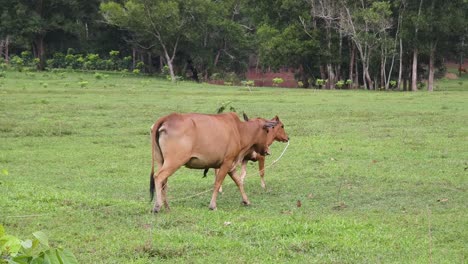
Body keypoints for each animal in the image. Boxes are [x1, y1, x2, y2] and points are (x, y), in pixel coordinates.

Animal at [149, 111, 286, 212]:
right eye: (267, 130)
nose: (267, 151)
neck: (240, 130)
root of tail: (167, 118)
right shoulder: (226, 162)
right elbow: (218, 183)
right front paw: (213, 205)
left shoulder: (231, 166)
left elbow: (239, 182)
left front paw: (246, 200)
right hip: (174, 161)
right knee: (158, 177)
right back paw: (157, 205)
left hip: (162, 161)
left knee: (164, 182)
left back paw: (167, 206)